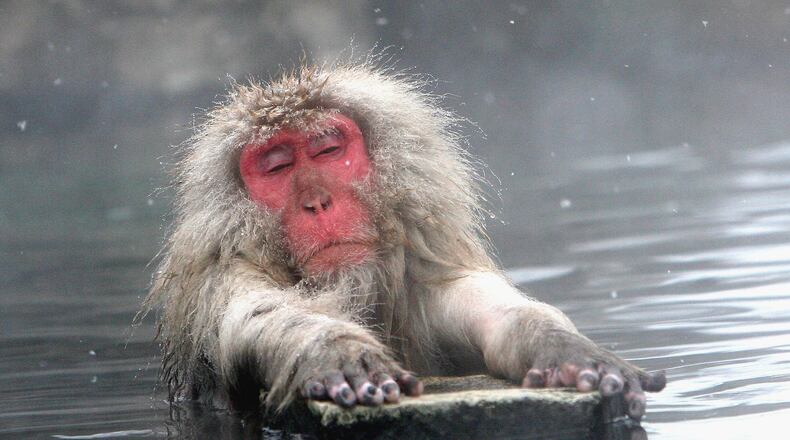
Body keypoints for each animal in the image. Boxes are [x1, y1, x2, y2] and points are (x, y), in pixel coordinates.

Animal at [143, 61, 666, 421]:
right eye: (277, 166)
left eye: (327, 149)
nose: (317, 202)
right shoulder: (223, 275)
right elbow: (258, 312)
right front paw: (334, 349)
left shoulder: (414, 284)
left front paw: (559, 347)